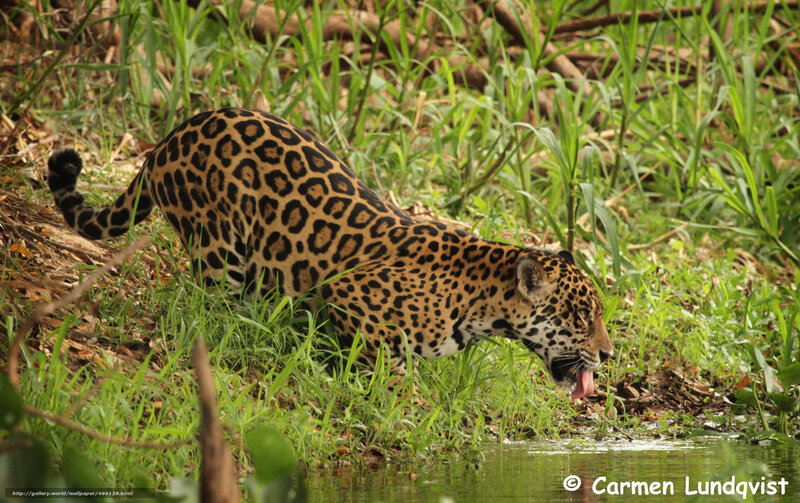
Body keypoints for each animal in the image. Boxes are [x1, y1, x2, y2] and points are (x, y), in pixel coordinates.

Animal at [47, 107, 613, 399]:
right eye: (582, 316)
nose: (608, 355)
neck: (482, 306)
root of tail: (168, 138)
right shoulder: (350, 293)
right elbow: (391, 368)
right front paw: (401, 402)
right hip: (217, 244)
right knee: (209, 308)